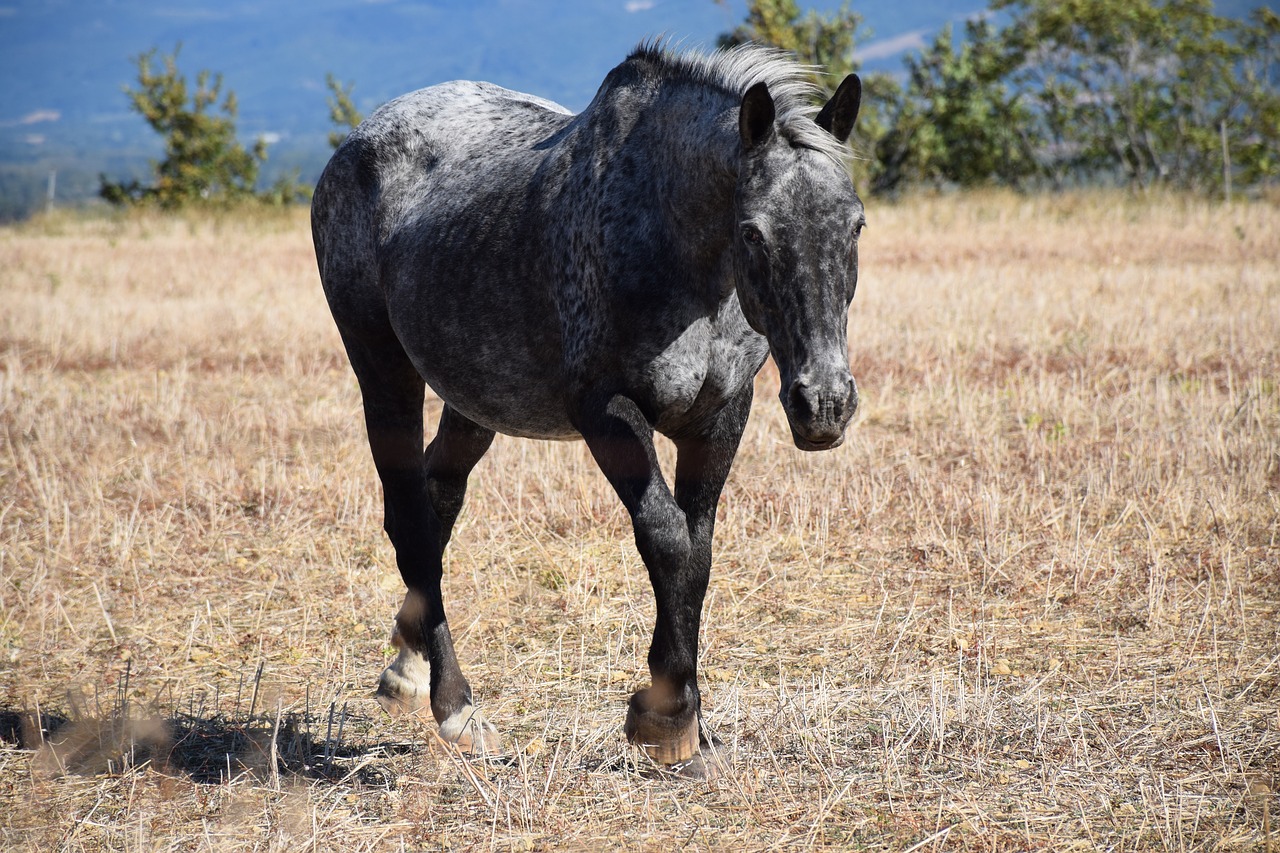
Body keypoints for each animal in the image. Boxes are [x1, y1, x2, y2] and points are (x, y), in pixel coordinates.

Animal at [311, 41, 865, 768]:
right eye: (753, 232)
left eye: (856, 225)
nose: (823, 404)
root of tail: (355, 145)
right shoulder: (607, 413)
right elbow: (667, 540)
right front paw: (667, 718)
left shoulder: (719, 417)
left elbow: (698, 552)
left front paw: (687, 718)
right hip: (384, 373)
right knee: (409, 513)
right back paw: (456, 707)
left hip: (473, 404)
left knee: (436, 502)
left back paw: (406, 669)